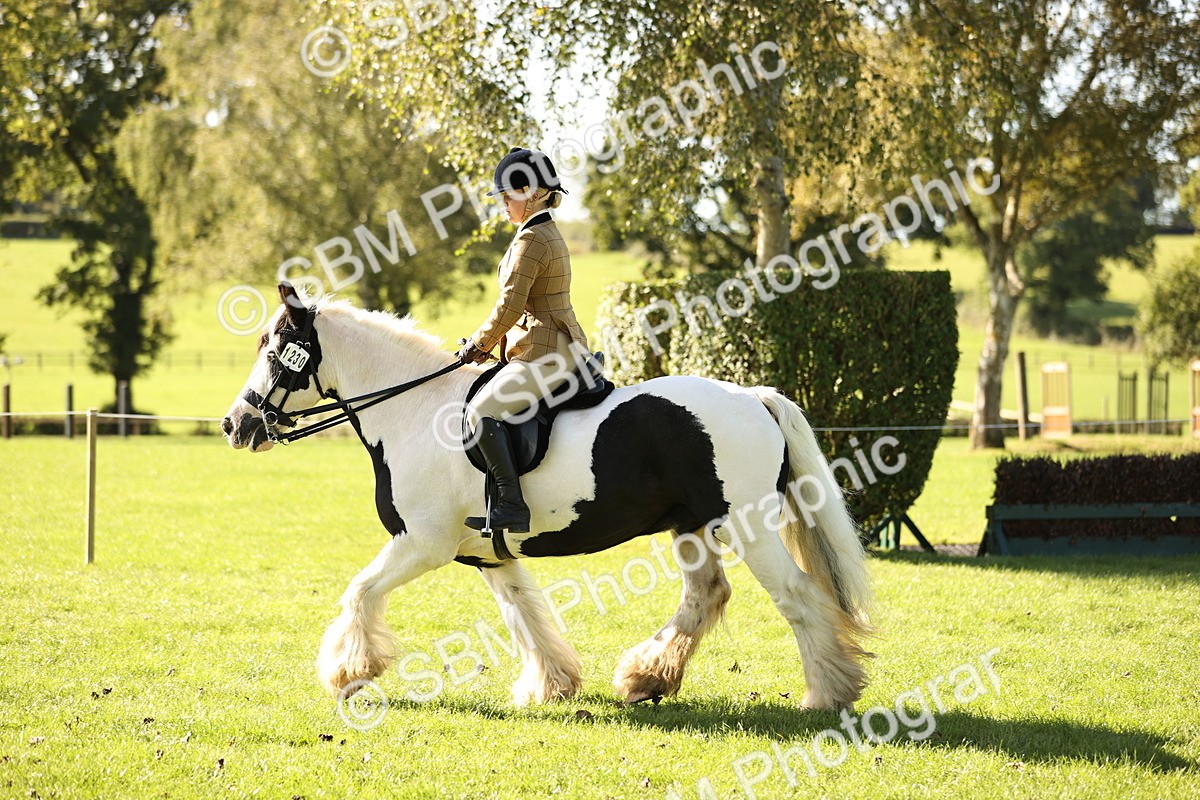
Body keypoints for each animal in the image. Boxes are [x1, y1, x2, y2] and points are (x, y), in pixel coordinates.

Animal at [222, 285, 872, 711]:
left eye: (277, 347)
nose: (236, 425)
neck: (414, 412)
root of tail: (753, 396)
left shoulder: (422, 544)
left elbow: (359, 591)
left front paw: (349, 672)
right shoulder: (487, 554)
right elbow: (524, 615)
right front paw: (552, 685)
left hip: (747, 526)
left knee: (796, 597)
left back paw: (828, 694)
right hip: (689, 525)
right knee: (706, 595)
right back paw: (646, 679)